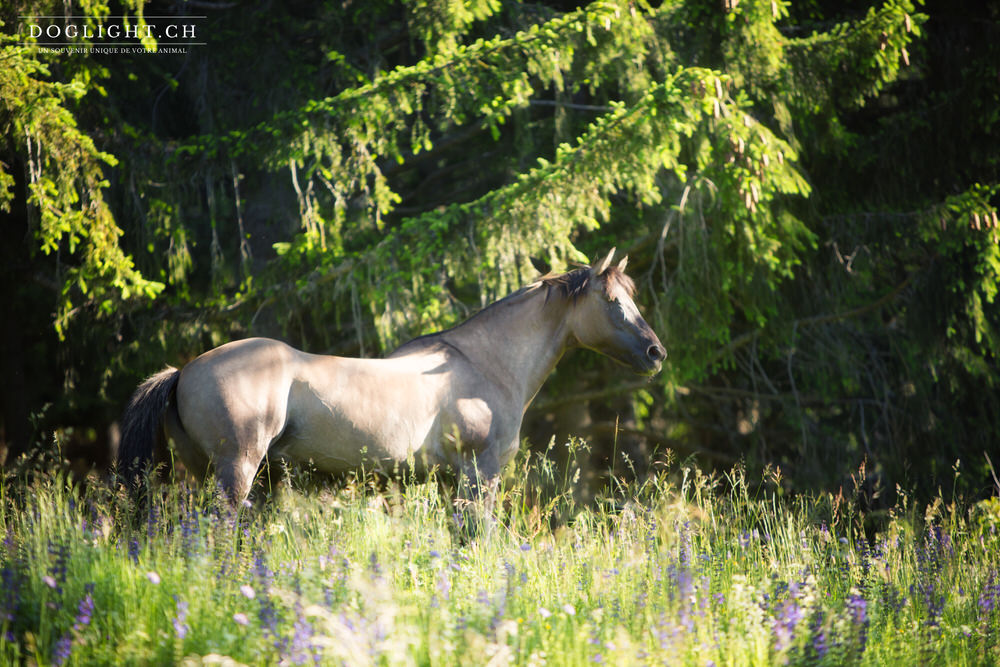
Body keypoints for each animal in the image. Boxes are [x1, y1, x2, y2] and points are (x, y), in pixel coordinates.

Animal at [117, 248, 664, 504]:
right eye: (613, 301)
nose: (656, 353)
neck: (484, 364)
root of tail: (184, 370)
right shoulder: (479, 474)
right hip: (236, 470)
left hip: (203, 472)